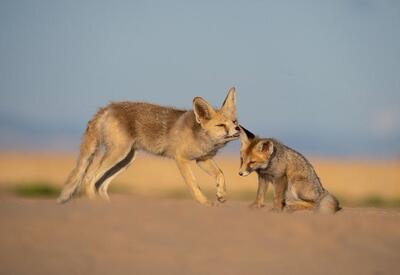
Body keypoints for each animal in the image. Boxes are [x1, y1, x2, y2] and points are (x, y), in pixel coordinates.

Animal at [57, 87, 239, 206]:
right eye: (221, 125)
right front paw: (204, 203)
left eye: (234, 122)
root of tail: (108, 107)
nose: (238, 129)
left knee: (101, 185)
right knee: (89, 178)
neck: (200, 137)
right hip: (118, 154)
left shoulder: (202, 159)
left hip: (126, 160)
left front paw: (221, 194)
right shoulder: (181, 159)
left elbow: (221, 174)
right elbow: (194, 185)